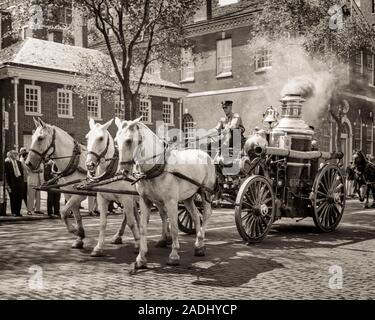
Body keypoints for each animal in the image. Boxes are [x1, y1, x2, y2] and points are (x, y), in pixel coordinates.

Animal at [25, 117, 131, 252]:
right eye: (32, 137)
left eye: (40, 138)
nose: (28, 163)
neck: (73, 162)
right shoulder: (69, 194)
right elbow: (76, 216)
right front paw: (79, 236)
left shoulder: (79, 194)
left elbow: (64, 212)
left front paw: (75, 231)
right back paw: (118, 235)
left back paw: (119, 235)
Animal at [115, 116, 217, 268]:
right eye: (116, 140)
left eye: (128, 140)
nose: (122, 172)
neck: (157, 167)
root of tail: (205, 154)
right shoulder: (145, 201)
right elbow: (143, 227)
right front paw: (141, 257)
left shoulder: (171, 202)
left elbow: (174, 227)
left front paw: (174, 255)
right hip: (188, 197)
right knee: (194, 215)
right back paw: (199, 245)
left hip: (205, 191)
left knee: (206, 214)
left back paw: (200, 240)